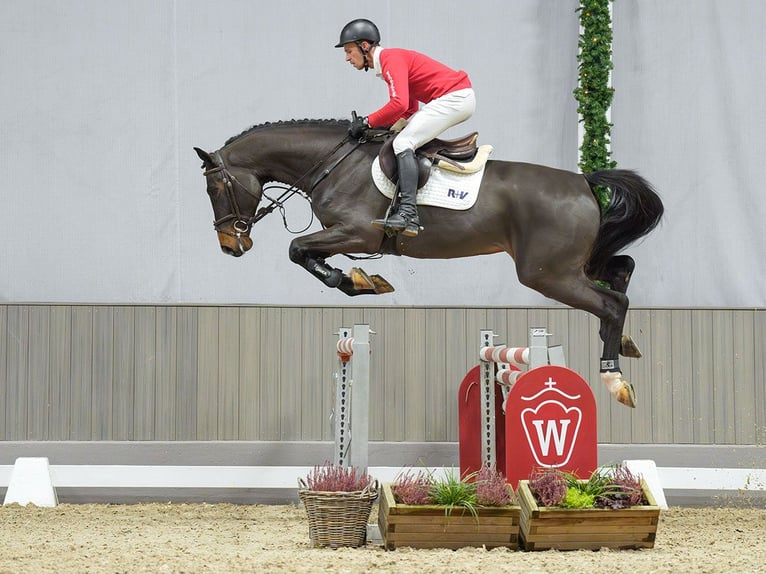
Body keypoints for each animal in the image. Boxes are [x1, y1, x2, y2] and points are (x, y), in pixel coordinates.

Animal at [196, 119, 664, 410]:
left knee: (612, 303)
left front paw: (356, 281)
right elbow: (308, 255)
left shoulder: (358, 232)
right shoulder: (344, 237)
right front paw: (361, 279)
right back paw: (623, 342)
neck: (332, 165)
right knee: (620, 270)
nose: (230, 245)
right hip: (567, 266)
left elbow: (297, 249)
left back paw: (614, 377)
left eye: (215, 188)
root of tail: (584, 180)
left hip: (547, 273)